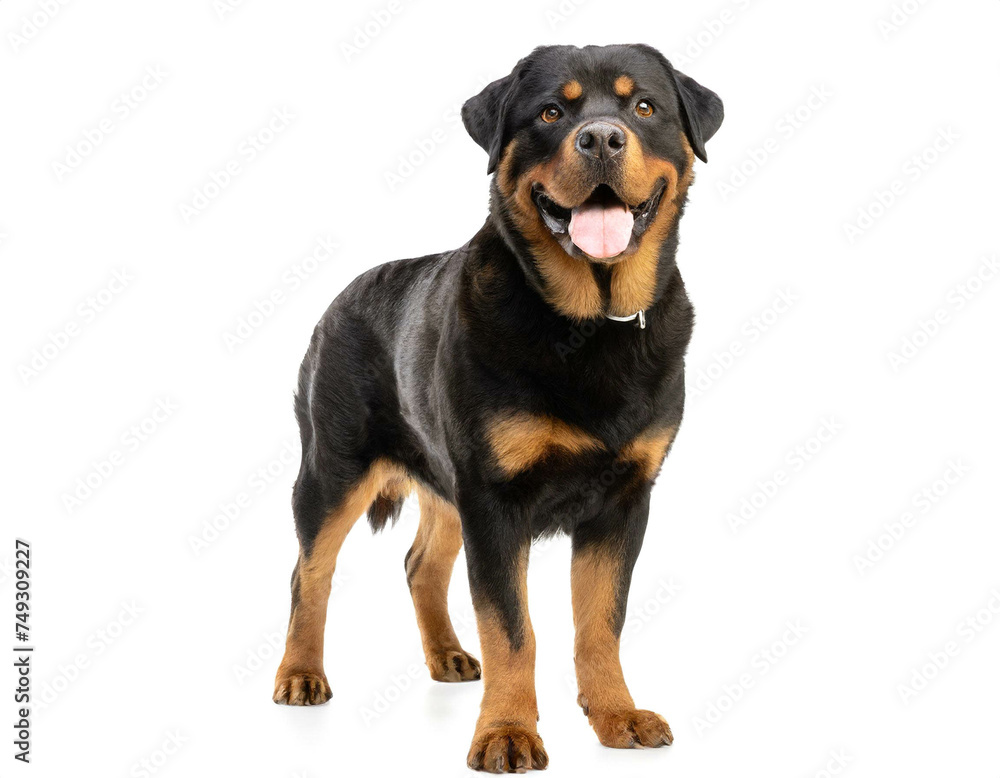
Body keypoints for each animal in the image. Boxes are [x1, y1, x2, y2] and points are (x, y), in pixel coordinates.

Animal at [273, 43, 723, 773]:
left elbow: (601, 621)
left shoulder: (623, 500)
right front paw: (507, 732)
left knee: (421, 565)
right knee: (309, 572)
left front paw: (616, 715)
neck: (588, 326)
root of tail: (342, 295)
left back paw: (448, 656)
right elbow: (513, 628)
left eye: (644, 106)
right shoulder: (495, 498)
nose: (602, 137)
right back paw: (300, 673)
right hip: (334, 467)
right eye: (551, 113)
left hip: (444, 481)